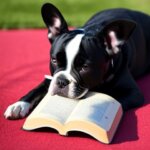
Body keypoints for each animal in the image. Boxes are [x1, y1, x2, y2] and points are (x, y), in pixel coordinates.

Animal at [4, 2, 150, 119]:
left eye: (84, 67)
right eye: (54, 60)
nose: (62, 81)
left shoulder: (133, 93)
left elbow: (115, 100)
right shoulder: (51, 78)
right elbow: (37, 88)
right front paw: (19, 105)